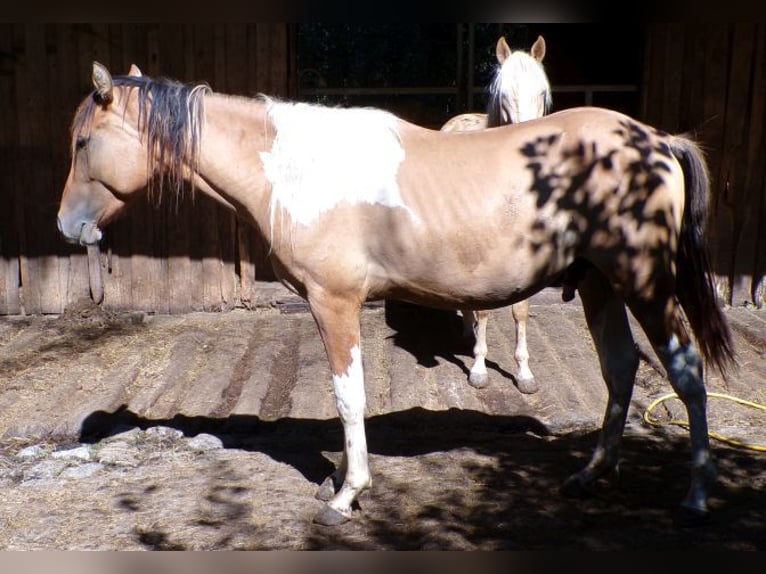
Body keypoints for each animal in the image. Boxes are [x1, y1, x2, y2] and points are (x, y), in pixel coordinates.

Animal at [444, 35, 552, 396]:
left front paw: (524, 373)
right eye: (503, 94)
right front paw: (478, 368)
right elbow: (485, 312)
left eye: (542, 93)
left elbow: (520, 312)